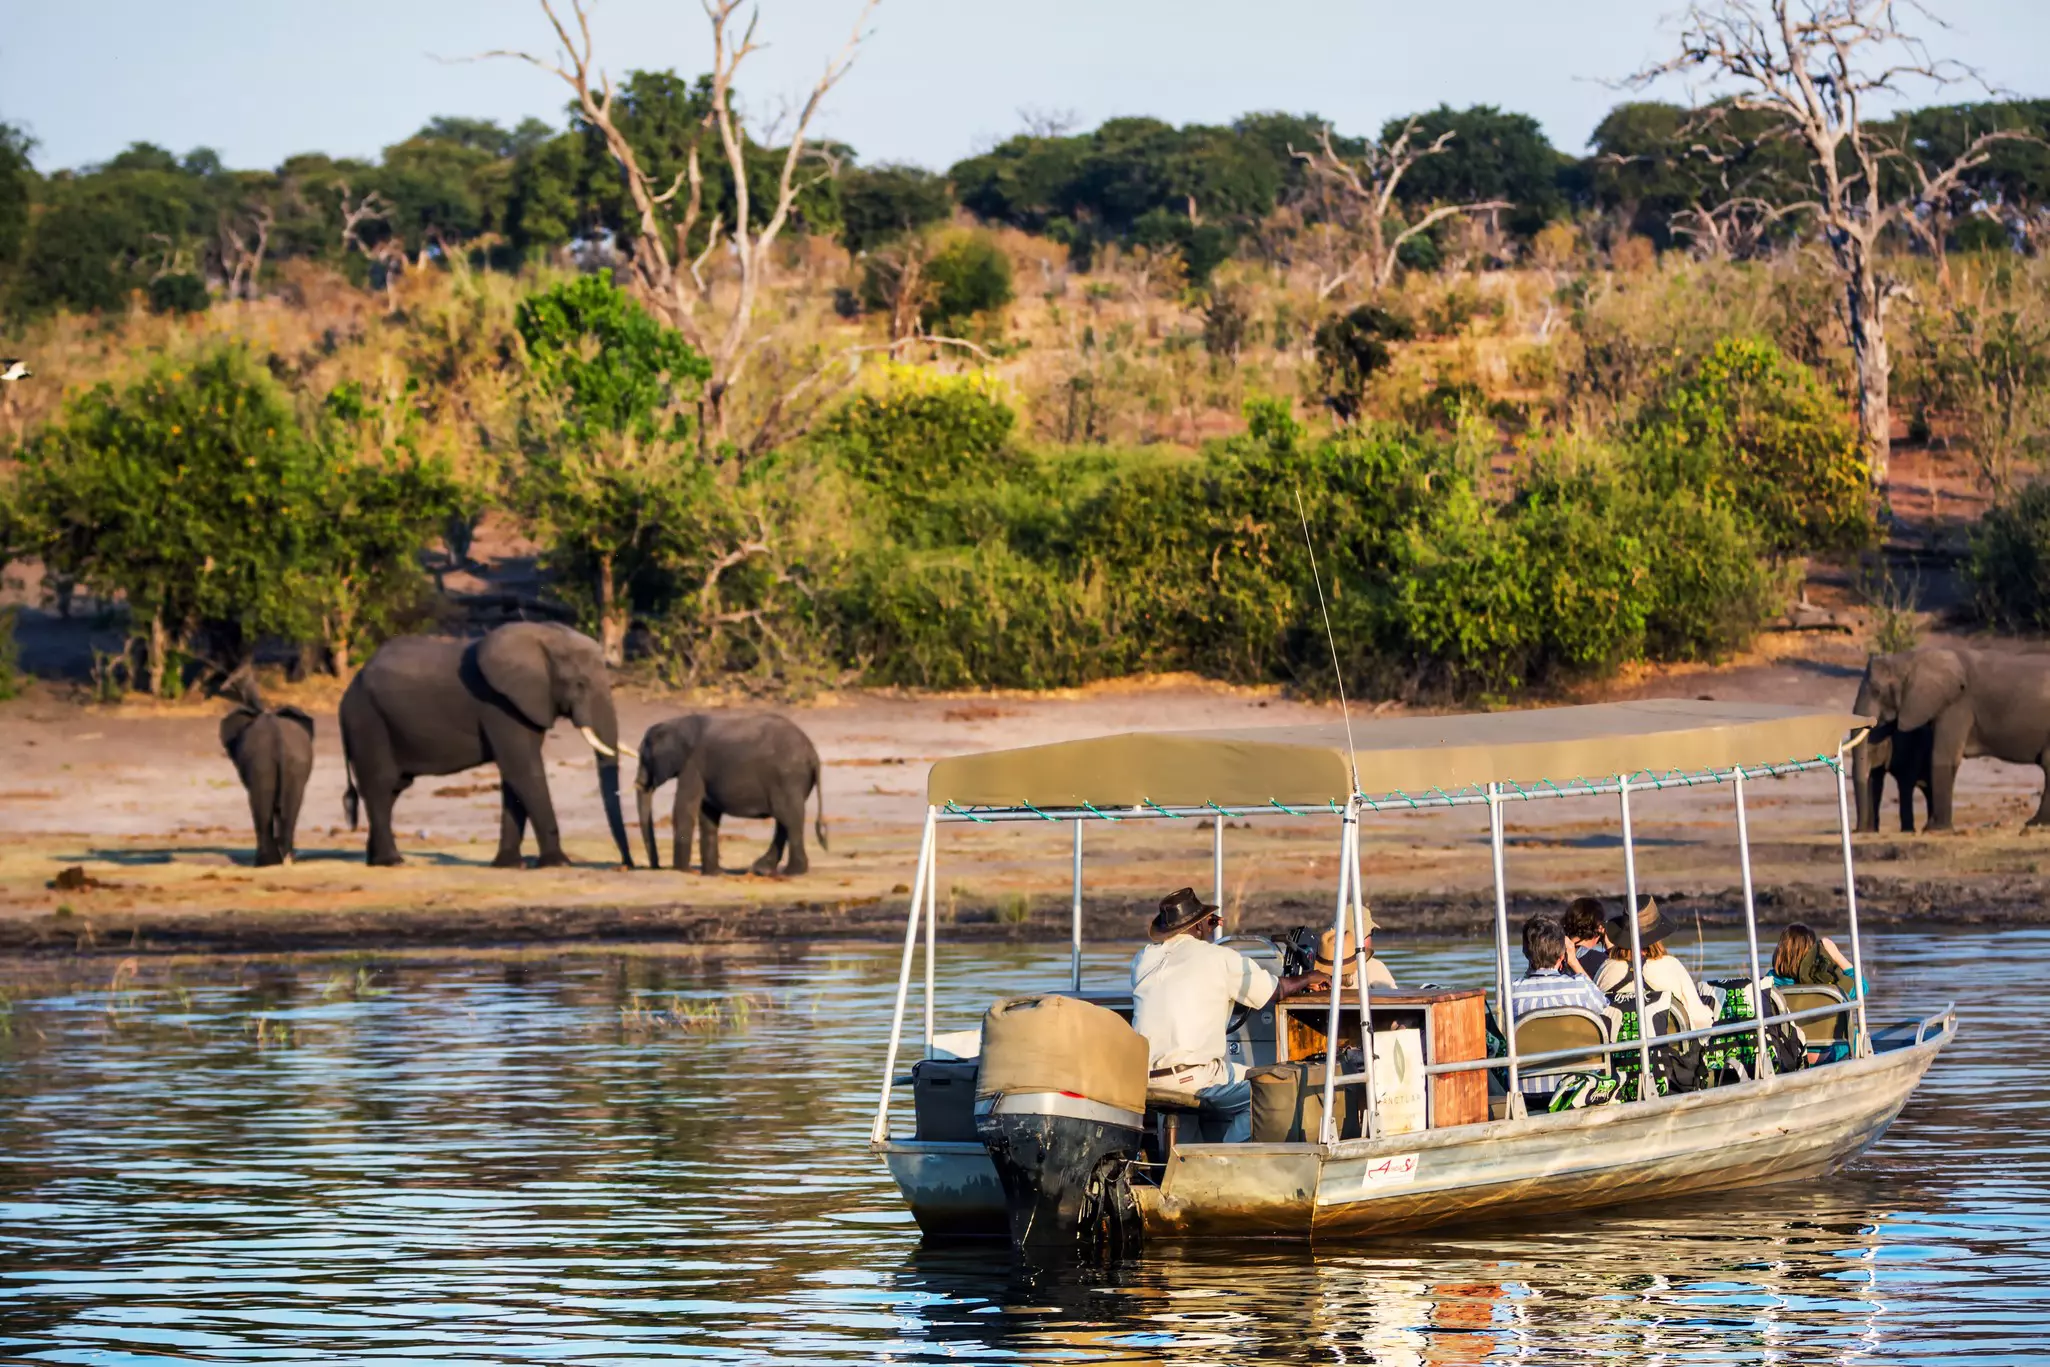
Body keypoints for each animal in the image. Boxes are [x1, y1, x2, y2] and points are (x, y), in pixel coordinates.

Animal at [218, 678, 314, 867]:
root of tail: (278, 738)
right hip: (294, 763)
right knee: (289, 806)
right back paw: (285, 859)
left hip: (260, 763)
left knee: (260, 804)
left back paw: (265, 862)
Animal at [339, 622, 638, 868]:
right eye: (579, 684)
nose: (625, 865)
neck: (543, 637)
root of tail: (348, 692)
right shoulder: (498, 705)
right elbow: (523, 771)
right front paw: (558, 863)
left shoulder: (522, 706)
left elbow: (514, 778)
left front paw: (509, 865)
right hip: (367, 722)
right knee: (380, 785)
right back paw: (392, 861)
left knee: (393, 788)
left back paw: (374, 861)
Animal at [634, 713, 827, 876]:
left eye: (644, 758)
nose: (656, 866)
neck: (676, 723)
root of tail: (813, 753)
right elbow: (708, 815)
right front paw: (713, 874)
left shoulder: (692, 766)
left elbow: (684, 809)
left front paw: (682, 871)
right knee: (785, 821)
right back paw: (762, 870)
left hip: (787, 778)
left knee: (789, 819)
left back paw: (792, 872)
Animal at [1854, 647, 2050, 831]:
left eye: (1877, 691)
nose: (1858, 830)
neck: (1909, 659)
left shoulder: (1957, 705)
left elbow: (1944, 757)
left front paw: (1935, 830)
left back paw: (2035, 823)